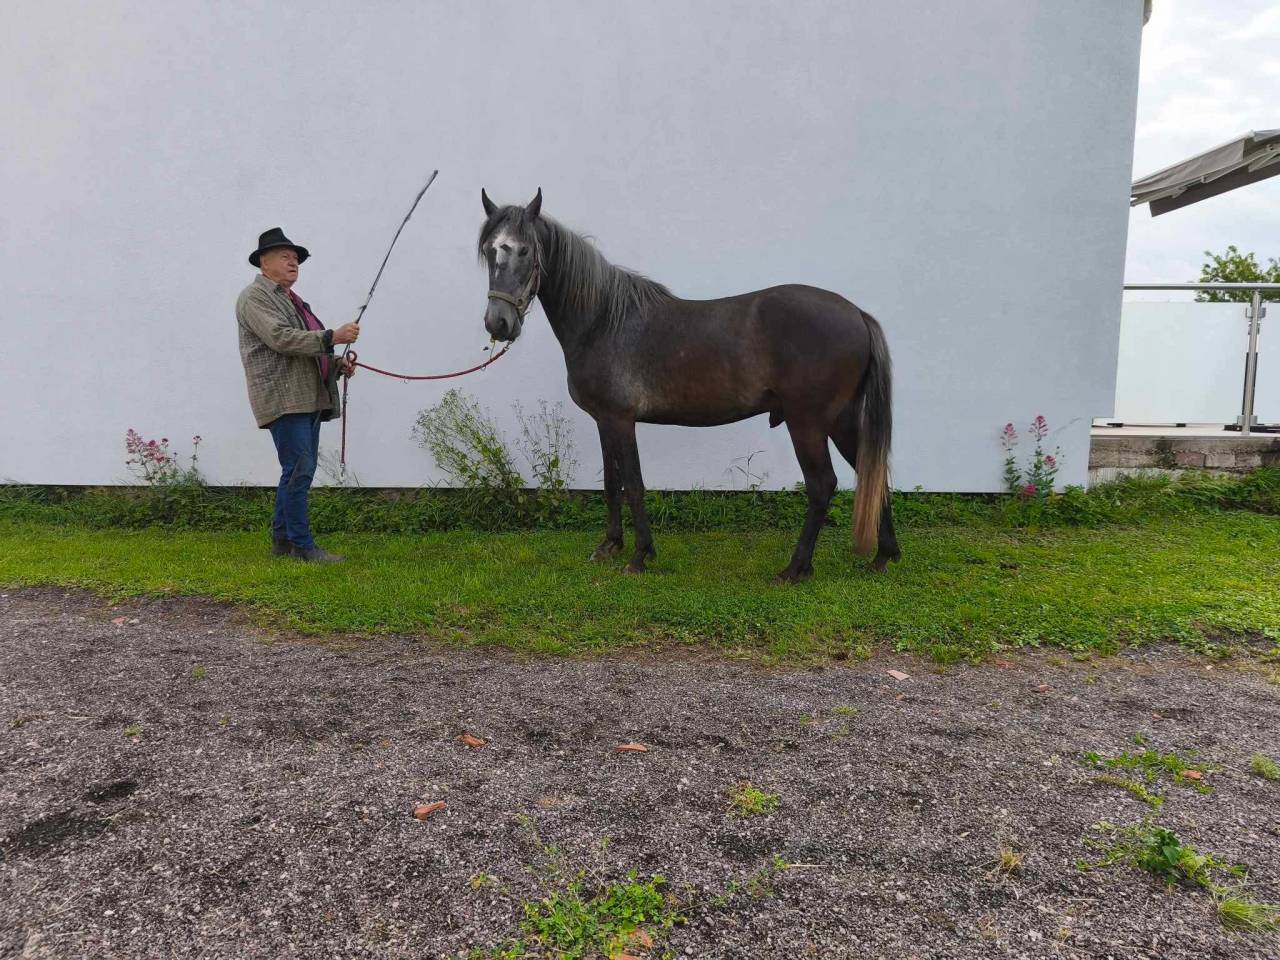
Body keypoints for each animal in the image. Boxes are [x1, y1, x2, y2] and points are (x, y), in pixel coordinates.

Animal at [478, 188, 899, 583]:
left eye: (525, 249)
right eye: (488, 250)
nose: (498, 323)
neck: (603, 321)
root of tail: (856, 313)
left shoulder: (620, 420)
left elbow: (633, 484)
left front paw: (640, 556)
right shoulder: (603, 421)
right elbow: (611, 482)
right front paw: (610, 546)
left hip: (807, 423)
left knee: (822, 485)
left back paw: (795, 568)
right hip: (841, 421)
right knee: (871, 473)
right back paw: (883, 557)